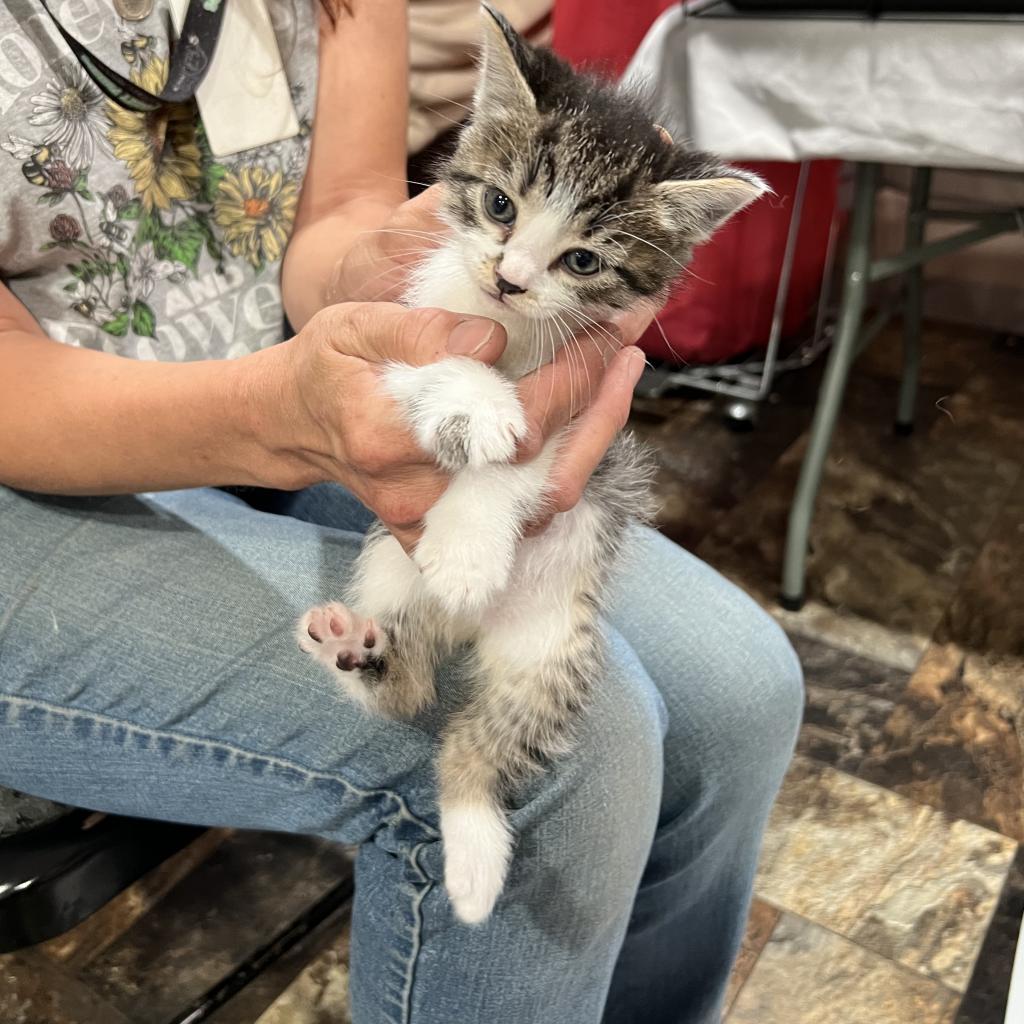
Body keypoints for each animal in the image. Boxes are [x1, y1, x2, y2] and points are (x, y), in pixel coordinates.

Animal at [296, 4, 761, 925]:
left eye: (583, 259)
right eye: (500, 204)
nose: (510, 280)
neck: (510, 332)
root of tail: (463, 633)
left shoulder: (587, 411)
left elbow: (526, 460)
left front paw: (469, 548)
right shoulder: (388, 330)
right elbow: (433, 364)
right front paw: (477, 404)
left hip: (551, 650)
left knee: (476, 743)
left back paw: (474, 861)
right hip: (386, 572)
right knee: (405, 689)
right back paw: (351, 648)